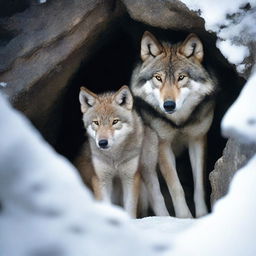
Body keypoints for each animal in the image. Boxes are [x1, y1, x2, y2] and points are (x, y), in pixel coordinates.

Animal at [75, 85, 144, 217]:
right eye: (96, 122)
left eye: (115, 121)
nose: (102, 142)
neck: (114, 158)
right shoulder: (100, 179)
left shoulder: (131, 178)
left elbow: (130, 209)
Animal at [131, 31, 217, 217]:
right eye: (158, 78)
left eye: (181, 77)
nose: (169, 105)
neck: (179, 123)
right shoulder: (163, 146)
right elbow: (176, 187)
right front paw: (184, 217)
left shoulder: (198, 140)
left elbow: (199, 186)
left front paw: (202, 215)